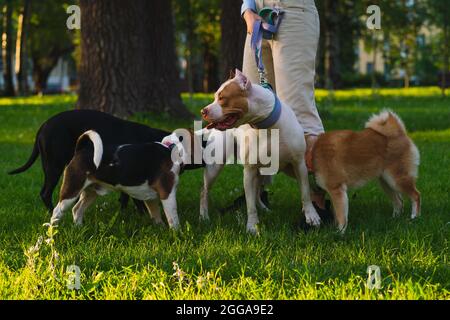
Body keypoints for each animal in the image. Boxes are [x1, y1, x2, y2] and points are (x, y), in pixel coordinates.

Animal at [50, 131, 181, 230]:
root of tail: (80, 151)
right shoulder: (167, 193)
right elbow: (173, 218)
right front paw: (176, 235)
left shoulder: (151, 198)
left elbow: (156, 215)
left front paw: (161, 229)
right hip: (71, 191)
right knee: (56, 212)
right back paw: (53, 233)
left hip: (90, 192)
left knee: (77, 210)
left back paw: (79, 228)